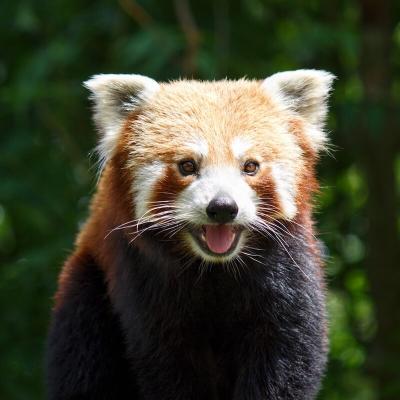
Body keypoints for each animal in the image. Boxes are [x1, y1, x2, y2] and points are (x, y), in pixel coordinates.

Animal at [46, 70, 334, 398]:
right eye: (187, 165)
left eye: (250, 166)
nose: (222, 207)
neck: (216, 267)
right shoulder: (144, 279)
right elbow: (167, 362)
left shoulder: (288, 270)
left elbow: (287, 354)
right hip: (88, 288)